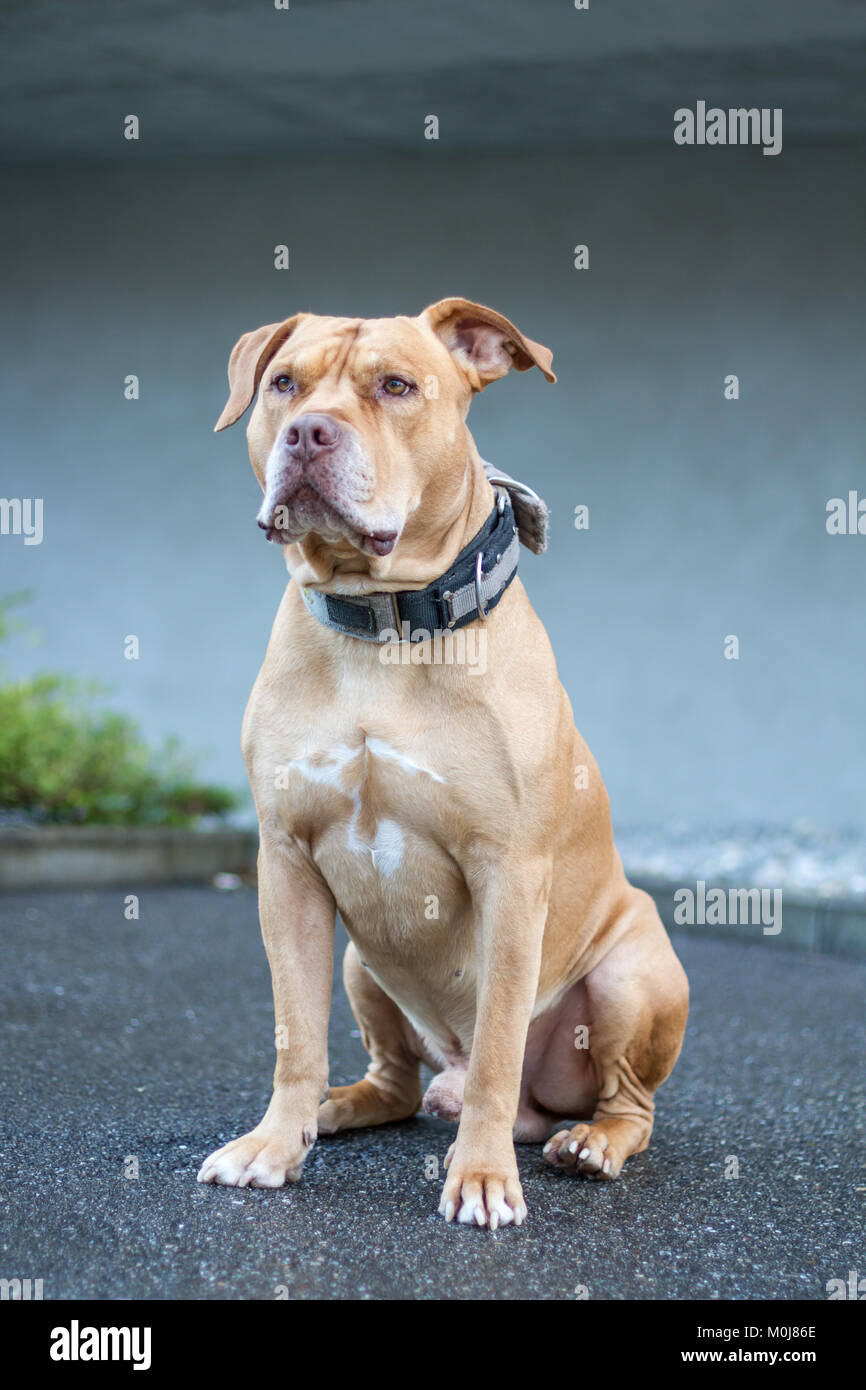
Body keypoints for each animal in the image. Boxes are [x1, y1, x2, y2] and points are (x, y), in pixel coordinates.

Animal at [198, 296, 692, 1228]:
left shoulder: (510, 874)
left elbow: (499, 1043)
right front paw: (273, 1144)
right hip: (361, 961)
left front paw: (484, 1178)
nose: (309, 433)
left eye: (396, 386)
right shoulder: (286, 865)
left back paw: (588, 1143)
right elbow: (293, 1034)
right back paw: (339, 1108)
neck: (383, 618)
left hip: (633, 974)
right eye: (283, 384)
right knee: (395, 1078)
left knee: (618, 1102)